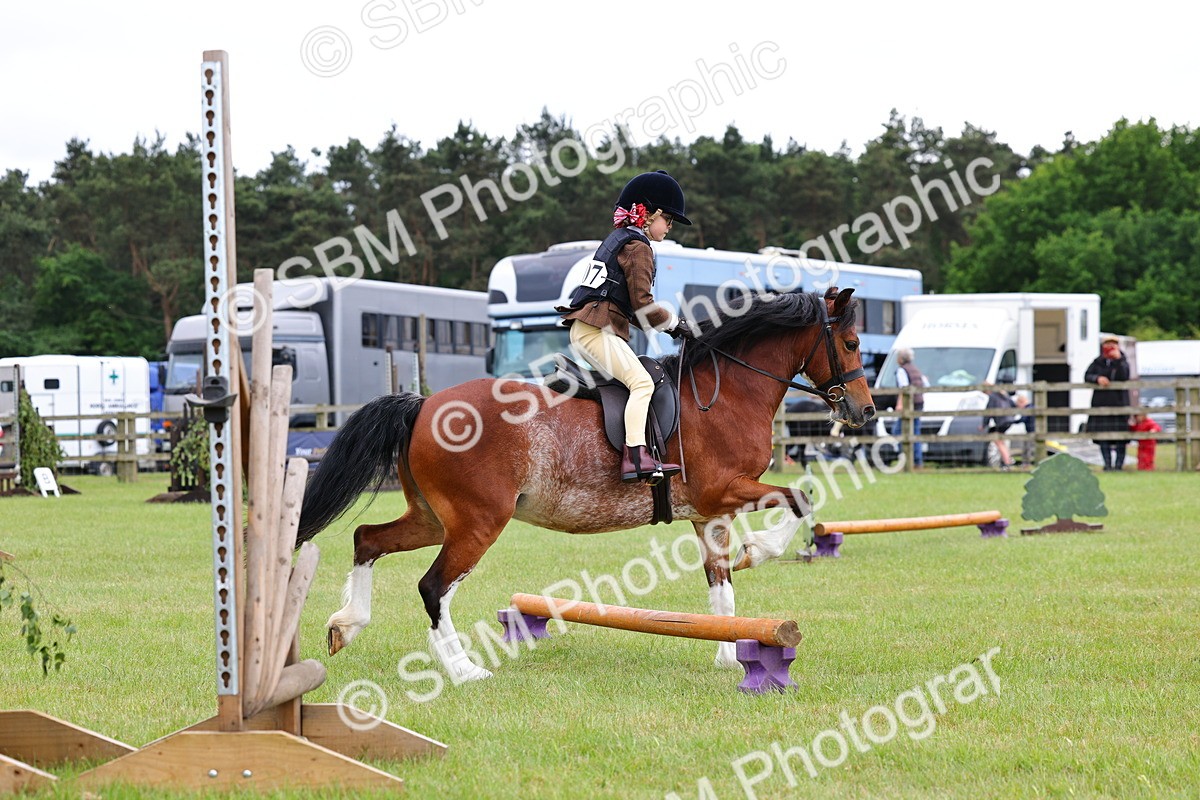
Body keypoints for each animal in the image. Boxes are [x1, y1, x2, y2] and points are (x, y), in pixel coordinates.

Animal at [296, 287, 876, 681]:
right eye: (850, 342)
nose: (865, 411)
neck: (727, 392)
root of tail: (422, 405)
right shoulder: (724, 491)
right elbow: (800, 498)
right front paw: (758, 551)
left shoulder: (709, 513)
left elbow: (722, 591)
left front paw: (729, 658)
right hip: (478, 522)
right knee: (433, 587)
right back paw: (463, 670)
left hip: (433, 518)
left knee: (367, 539)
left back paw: (346, 624)